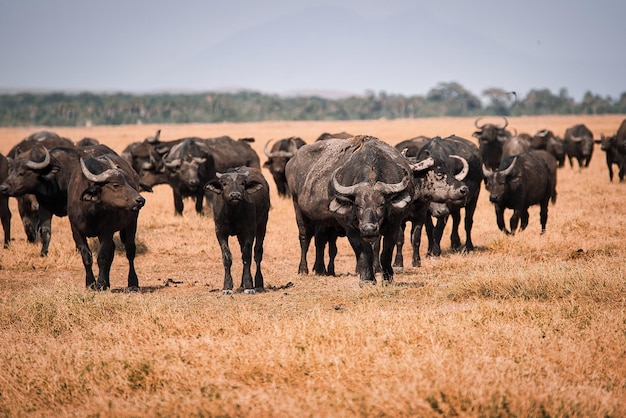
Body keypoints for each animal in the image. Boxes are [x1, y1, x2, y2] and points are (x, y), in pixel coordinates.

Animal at [67, 155, 145, 290]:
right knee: (112, 249)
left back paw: (133, 283)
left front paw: (100, 283)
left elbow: (102, 257)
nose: (140, 200)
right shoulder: (76, 231)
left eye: (126, 181)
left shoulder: (106, 231)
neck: (90, 212)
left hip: (132, 223)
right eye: (116, 185)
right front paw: (90, 283)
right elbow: (86, 257)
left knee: (130, 250)